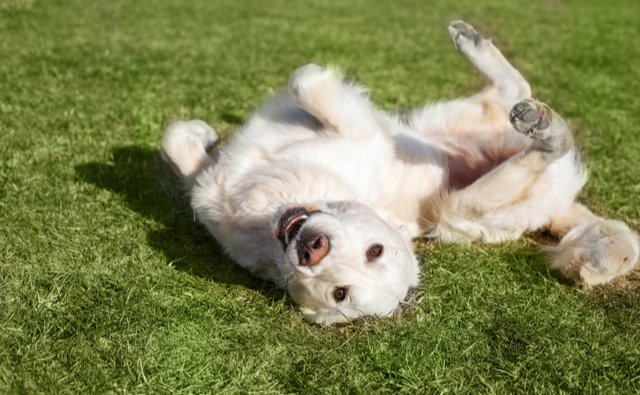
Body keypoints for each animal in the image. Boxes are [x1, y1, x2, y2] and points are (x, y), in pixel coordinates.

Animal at [161, 20, 640, 324]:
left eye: (340, 292)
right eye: (374, 252)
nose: (312, 249)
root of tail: (564, 206)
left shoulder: (363, 132)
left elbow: (306, 77)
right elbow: (175, 136)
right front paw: (203, 136)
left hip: (461, 210)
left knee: (548, 138)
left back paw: (547, 128)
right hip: (440, 125)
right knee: (511, 91)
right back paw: (474, 44)